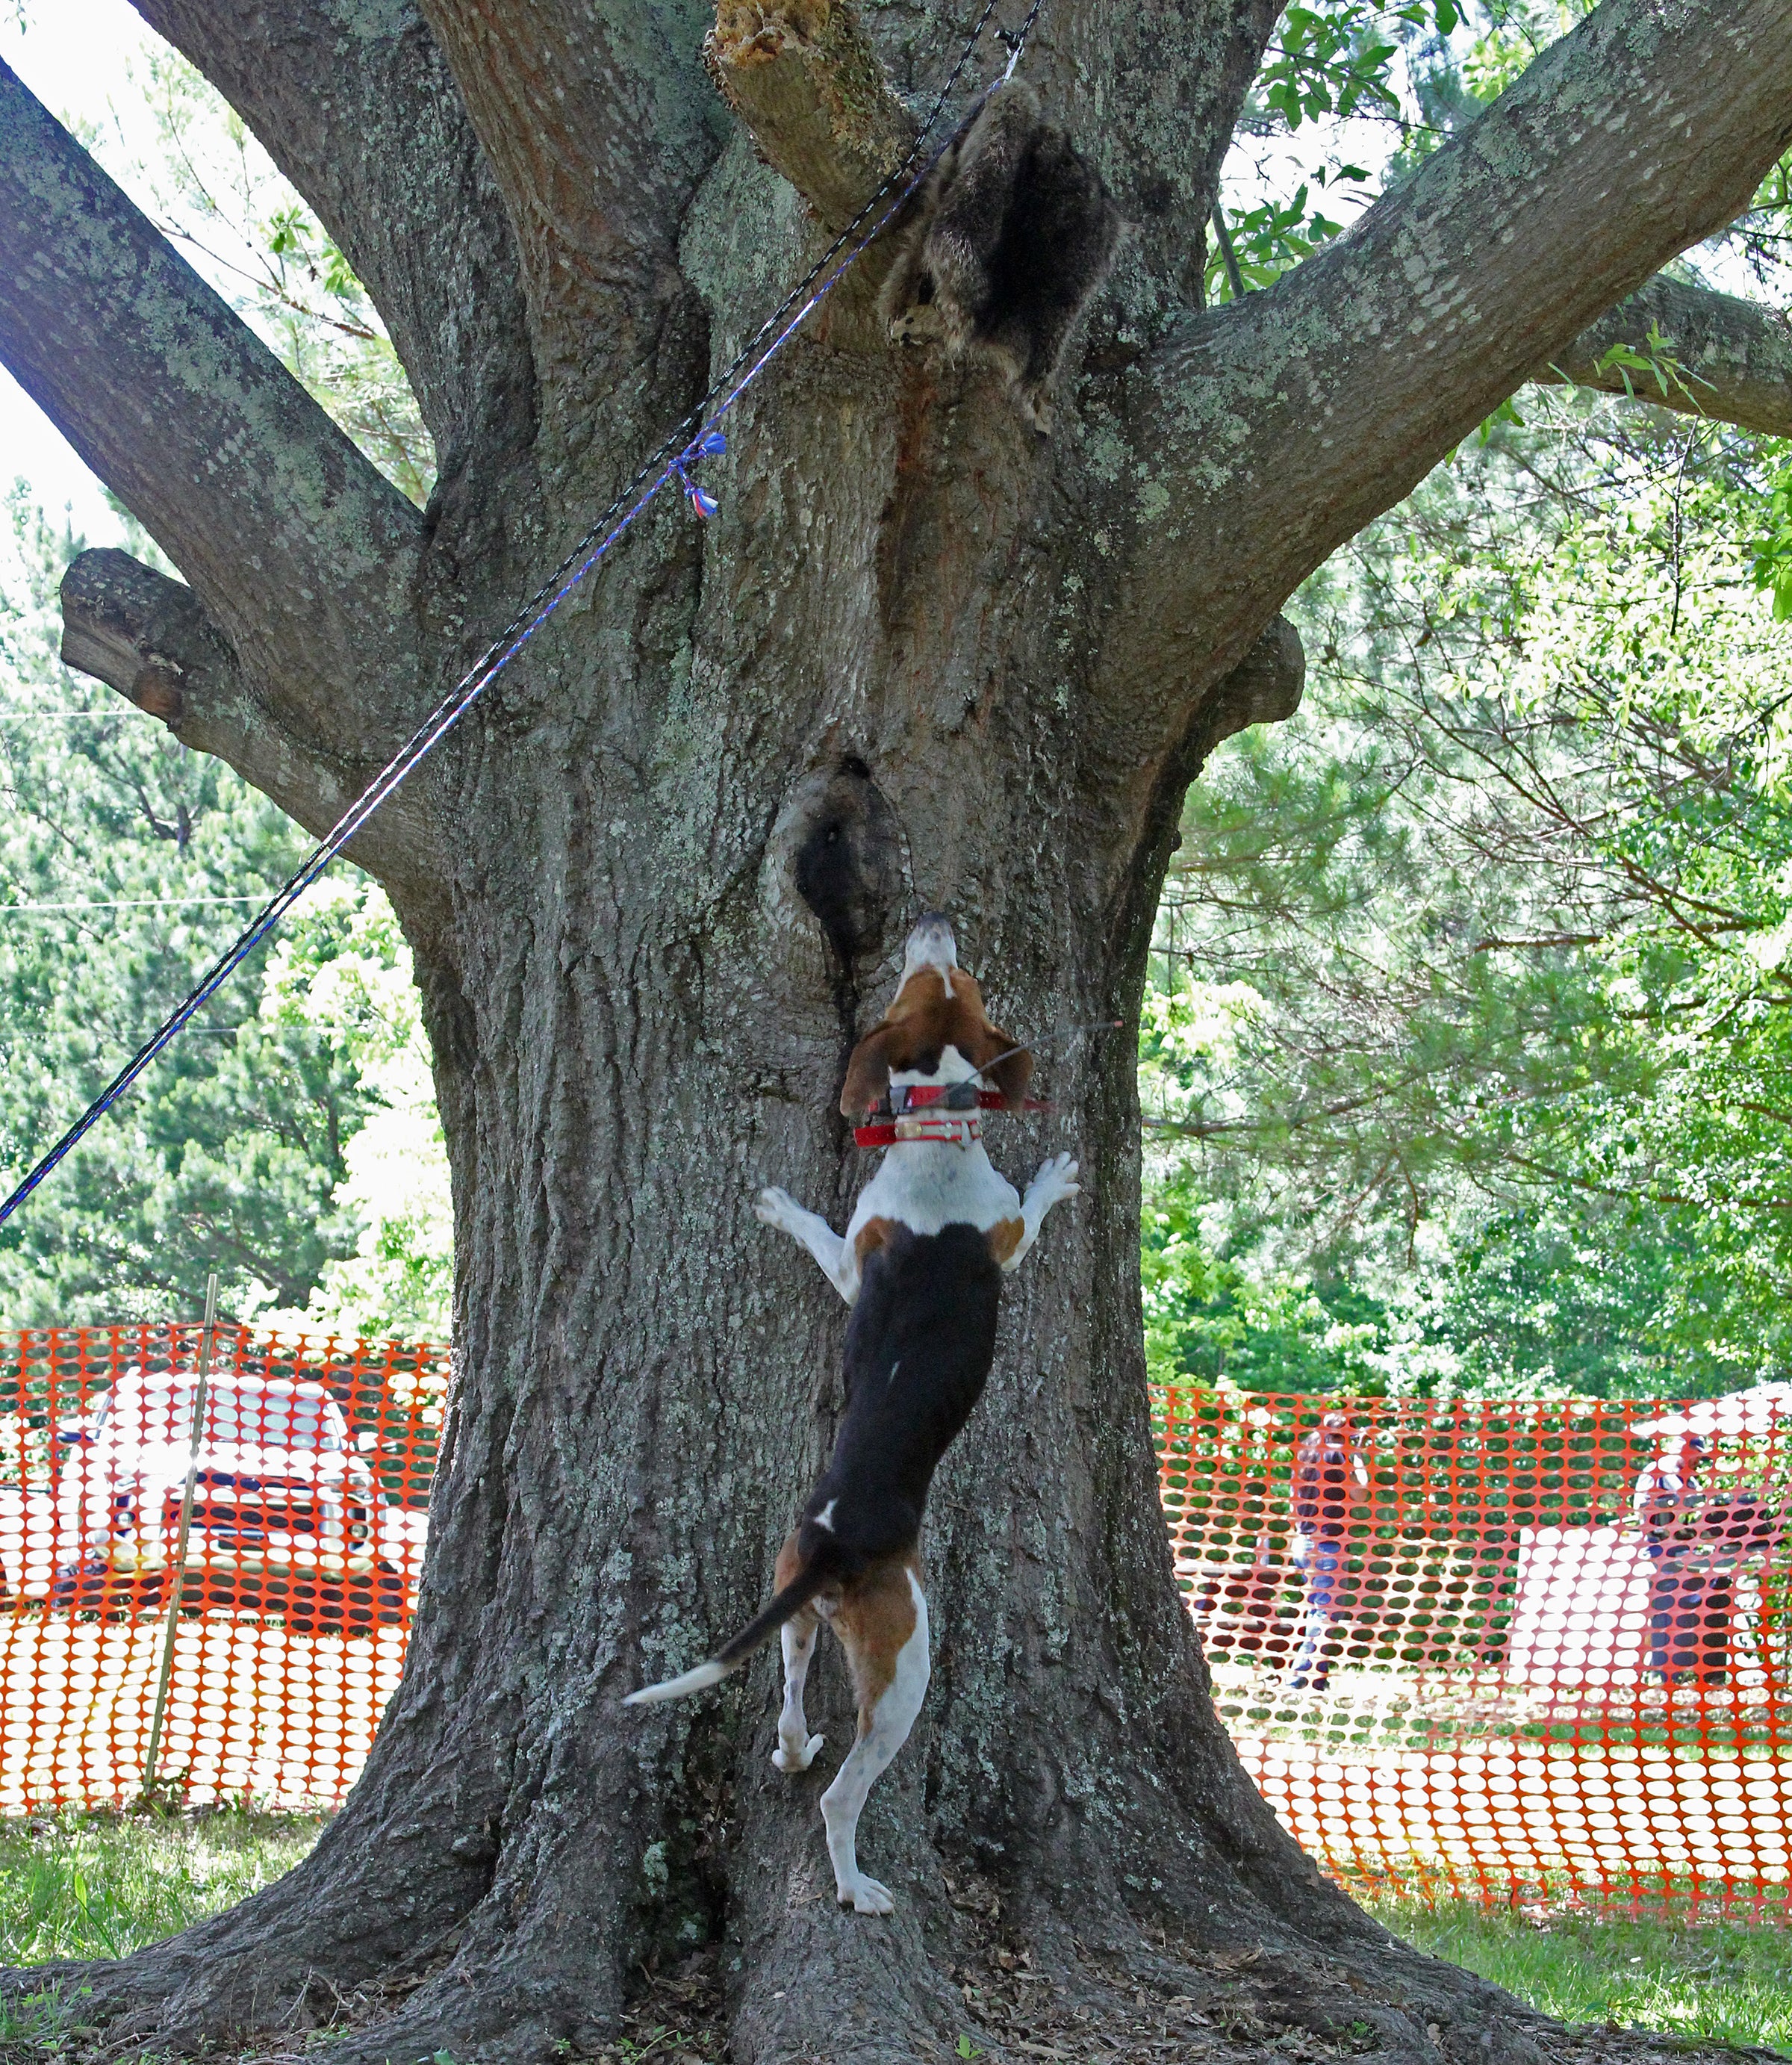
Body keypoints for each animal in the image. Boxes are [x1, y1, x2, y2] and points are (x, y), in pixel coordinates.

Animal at [627, 921, 1081, 1916]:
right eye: (944, 978)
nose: (933, 923)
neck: (937, 1129)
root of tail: (836, 1546)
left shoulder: (855, 1253)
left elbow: (826, 1240)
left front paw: (778, 1207)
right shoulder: (1002, 1238)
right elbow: (1025, 1214)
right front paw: (1058, 1176)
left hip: (793, 1607)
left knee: (792, 1702)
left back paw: (793, 1749)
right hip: (906, 1665)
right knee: (842, 1796)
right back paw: (854, 1885)